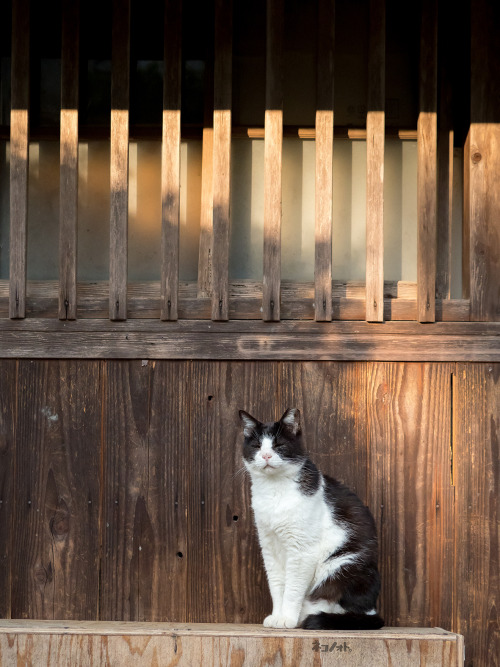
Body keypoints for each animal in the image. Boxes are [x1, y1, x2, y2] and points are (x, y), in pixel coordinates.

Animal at [238, 408, 382, 632]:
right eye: (257, 446)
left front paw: (287, 618)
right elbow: (277, 585)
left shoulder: (302, 550)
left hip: (343, 566)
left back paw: (306, 616)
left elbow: (292, 588)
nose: (266, 455)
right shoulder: (269, 546)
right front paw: (277, 616)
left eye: (278, 445)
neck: (274, 490)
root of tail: (373, 608)